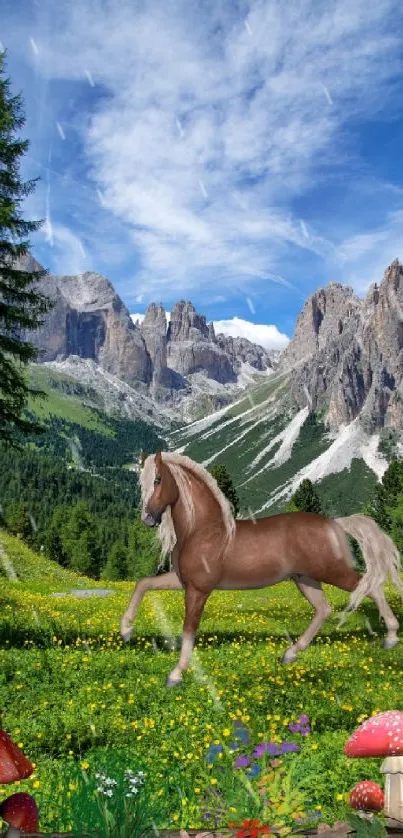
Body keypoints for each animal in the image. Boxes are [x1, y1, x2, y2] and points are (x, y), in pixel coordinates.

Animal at [120, 452, 403, 688]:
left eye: (158, 479)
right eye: (142, 483)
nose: (148, 519)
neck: (201, 531)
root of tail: (335, 523)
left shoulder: (199, 590)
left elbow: (189, 628)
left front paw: (176, 675)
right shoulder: (183, 581)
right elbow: (143, 583)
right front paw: (126, 631)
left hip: (332, 572)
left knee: (369, 586)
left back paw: (390, 637)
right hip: (305, 579)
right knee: (324, 609)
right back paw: (289, 654)